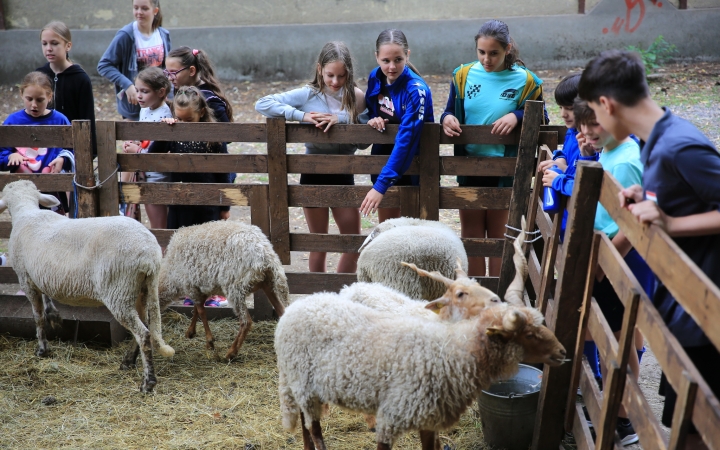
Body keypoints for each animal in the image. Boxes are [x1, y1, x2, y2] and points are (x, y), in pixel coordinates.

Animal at [0, 181, 174, 392]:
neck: (27, 212)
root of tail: (150, 254)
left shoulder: (25, 278)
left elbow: (38, 317)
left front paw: (42, 349)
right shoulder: (39, 274)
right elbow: (46, 299)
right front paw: (54, 316)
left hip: (119, 291)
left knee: (144, 334)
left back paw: (148, 382)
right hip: (143, 288)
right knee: (145, 325)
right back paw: (128, 361)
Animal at [158, 220, 290, 360]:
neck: (169, 276)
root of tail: (265, 255)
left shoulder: (191, 286)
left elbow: (201, 311)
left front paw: (209, 341)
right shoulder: (201, 287)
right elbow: (196, 310)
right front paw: (191, 332)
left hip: (235, 288)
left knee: (246, 322)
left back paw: (231, 353)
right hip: (269, 283)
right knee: (282, 312)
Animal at [272, 292, 564, 450]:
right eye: (528, 334)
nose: (562, 352)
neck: (452, 354)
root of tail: (294, 308)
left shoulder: (429, 417)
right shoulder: (393, 414)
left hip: (303, 384)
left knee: (305, 421)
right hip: (302, 382)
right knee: (314, 427)